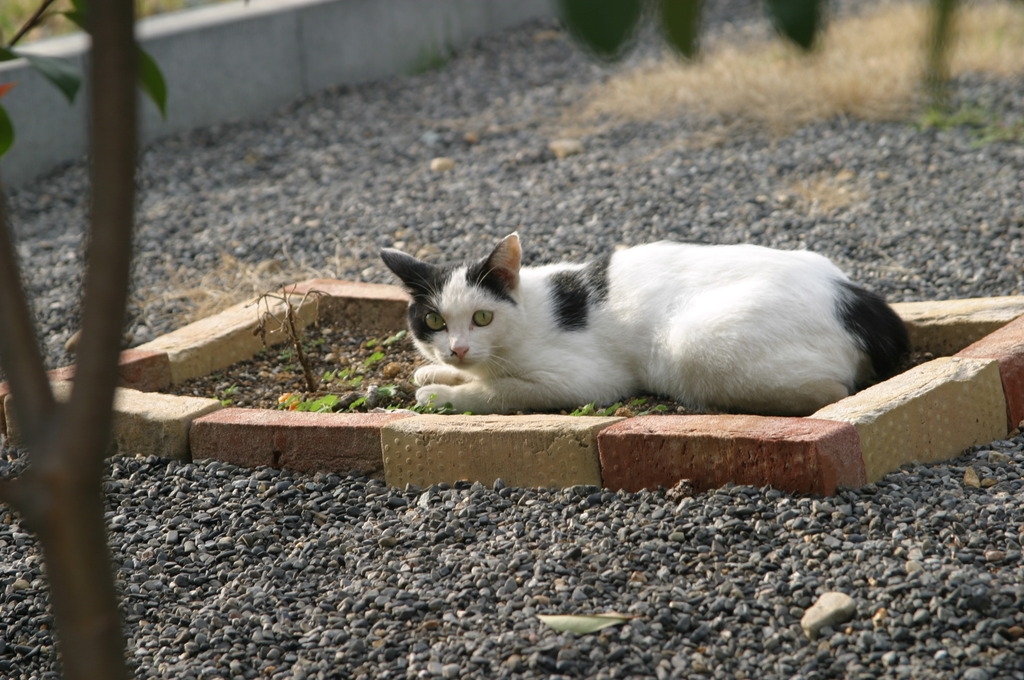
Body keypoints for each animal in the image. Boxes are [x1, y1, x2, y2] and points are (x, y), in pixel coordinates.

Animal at [380, 232, 909, 413]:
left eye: (482, 317)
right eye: (434, 321)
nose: (458, 348)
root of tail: (857, 298)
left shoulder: (586, 381)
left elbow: (501, 393)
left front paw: (442, 395)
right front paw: (434, 371)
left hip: (691, 343)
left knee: (833, 391)